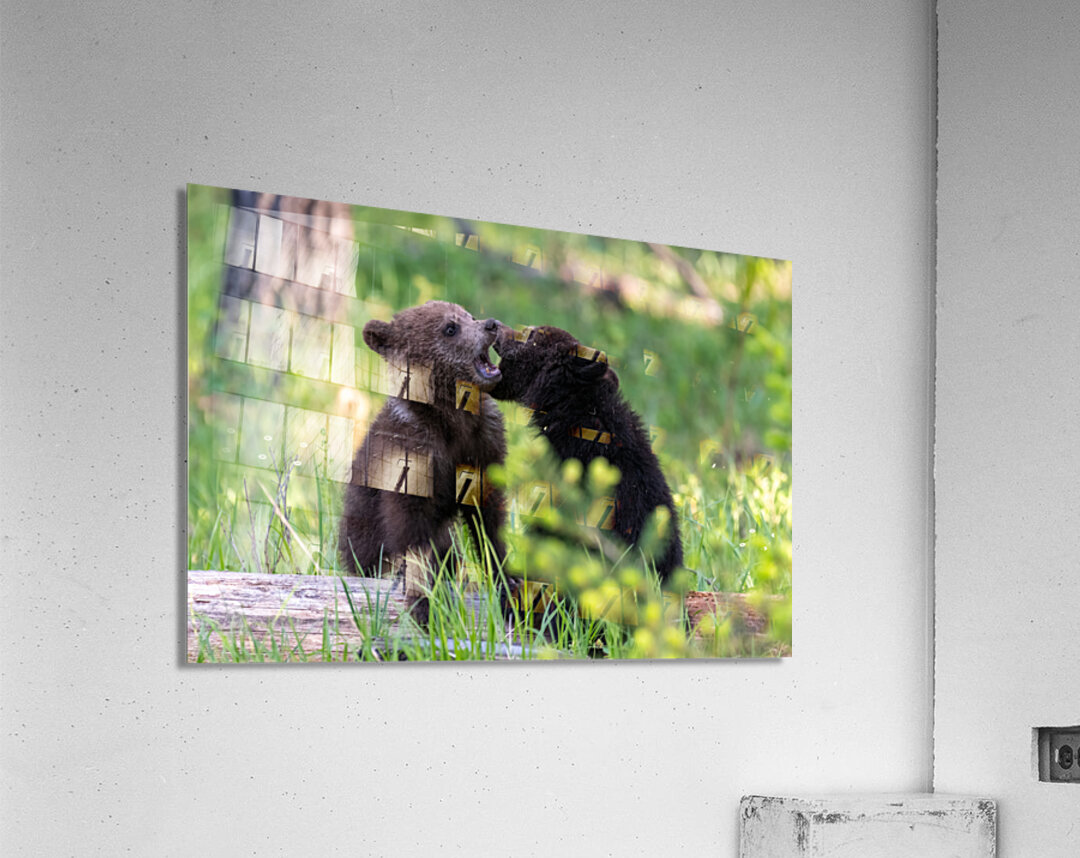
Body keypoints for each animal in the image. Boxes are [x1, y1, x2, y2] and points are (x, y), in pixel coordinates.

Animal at [338, 300, 508, 624]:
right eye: (450, 328)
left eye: (468, 315)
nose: (492, 324)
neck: (452, 419)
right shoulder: (410, 455)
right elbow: (411, 530)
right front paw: (422, 599)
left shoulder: (484, 444)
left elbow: (489, 520)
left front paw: (509, 580)